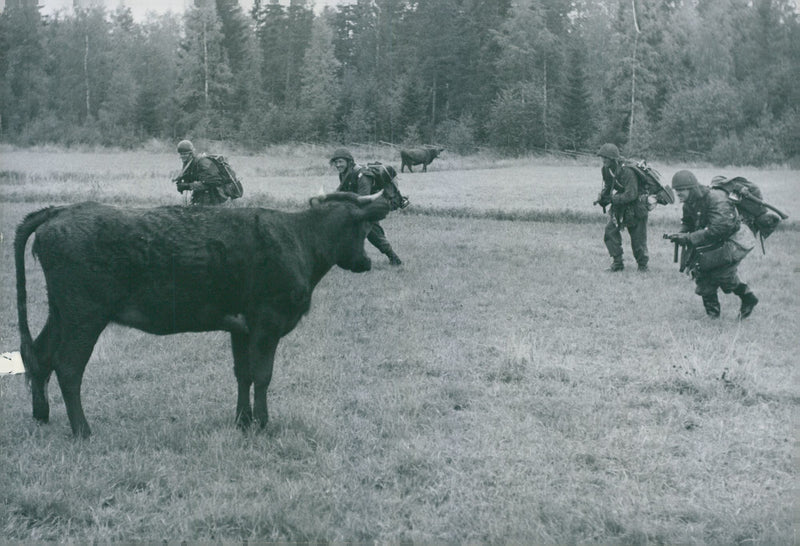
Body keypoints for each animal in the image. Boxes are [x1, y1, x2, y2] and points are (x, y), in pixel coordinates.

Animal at [11, 191, 388, 438]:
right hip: (84, 315)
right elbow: (263, 375)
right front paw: (263, 425)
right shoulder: (267, 321)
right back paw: (82, 430)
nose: (366, 262)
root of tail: (60, 211)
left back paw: (41, 415)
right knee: (68, 366)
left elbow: (243, 374)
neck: (298, 239)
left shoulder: (241, 328)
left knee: (40, 356)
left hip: (62, 312)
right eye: (364, 229)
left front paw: (242, 422)